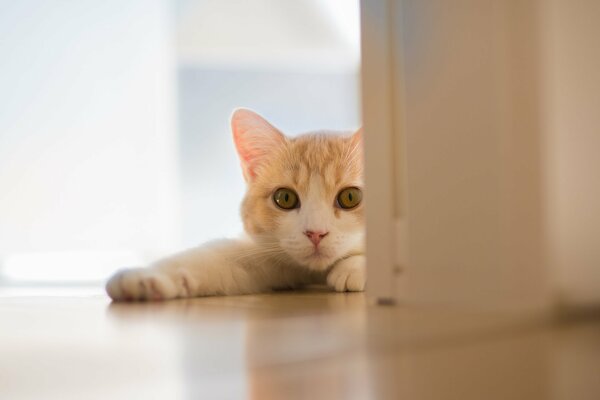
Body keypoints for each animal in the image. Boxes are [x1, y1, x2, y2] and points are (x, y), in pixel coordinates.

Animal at [105, 108, 364, 302]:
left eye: (350, 197)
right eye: (285, 198)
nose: (315, 233)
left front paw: (354, 267)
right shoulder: (261, 254)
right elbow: (212, 257)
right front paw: (144, 277)